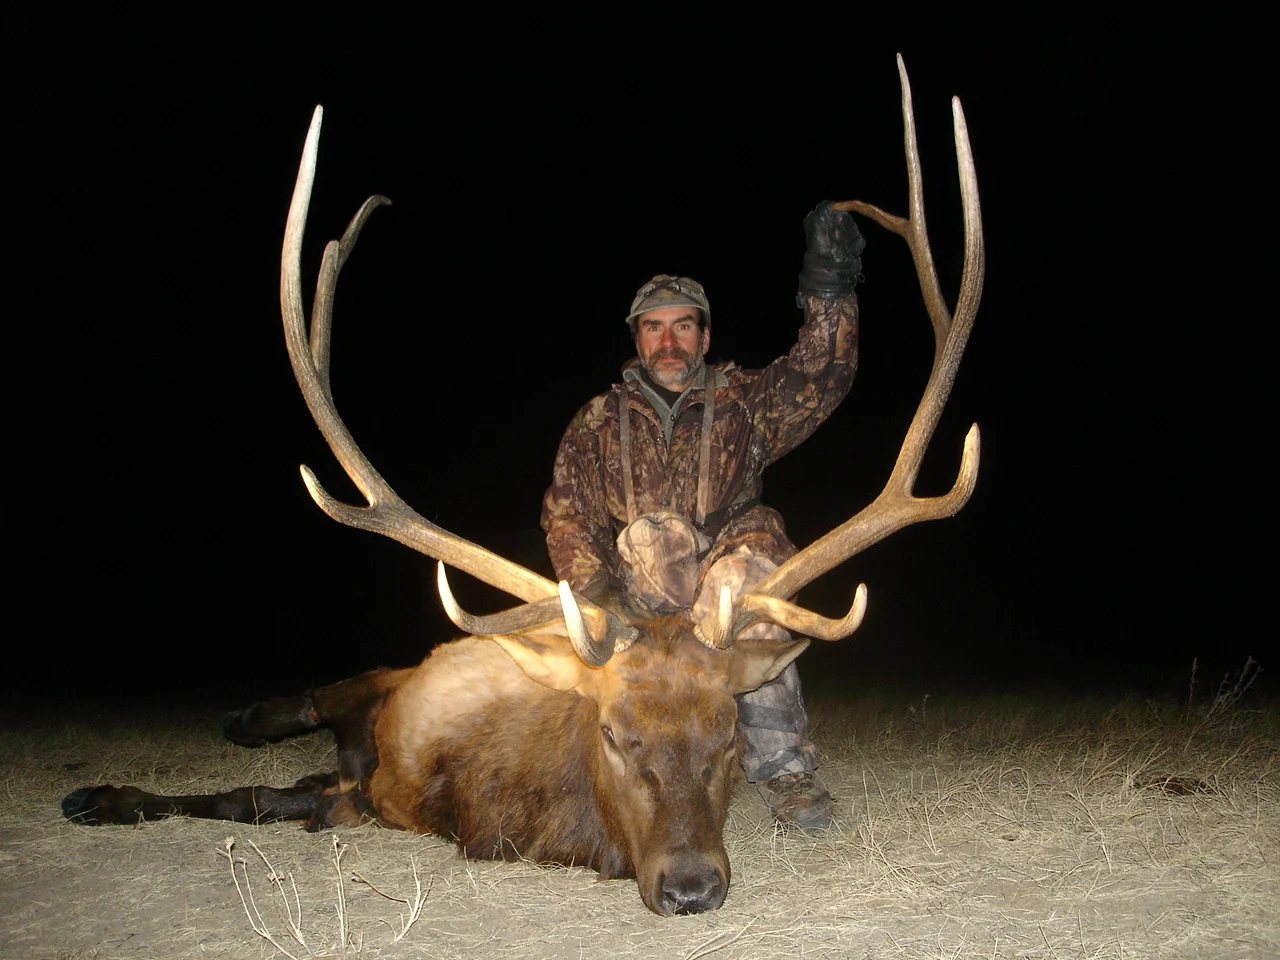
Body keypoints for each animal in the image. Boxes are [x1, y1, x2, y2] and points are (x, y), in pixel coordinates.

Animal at [63, 56, 983, 917]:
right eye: (613, 733)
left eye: (727, 733)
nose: (692, 886)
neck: (486, 801)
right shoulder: (383, 761)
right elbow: (256, 792)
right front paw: (105, 796)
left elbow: (287, 796)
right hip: (379, 681)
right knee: (313, 701)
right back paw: (225, 725)